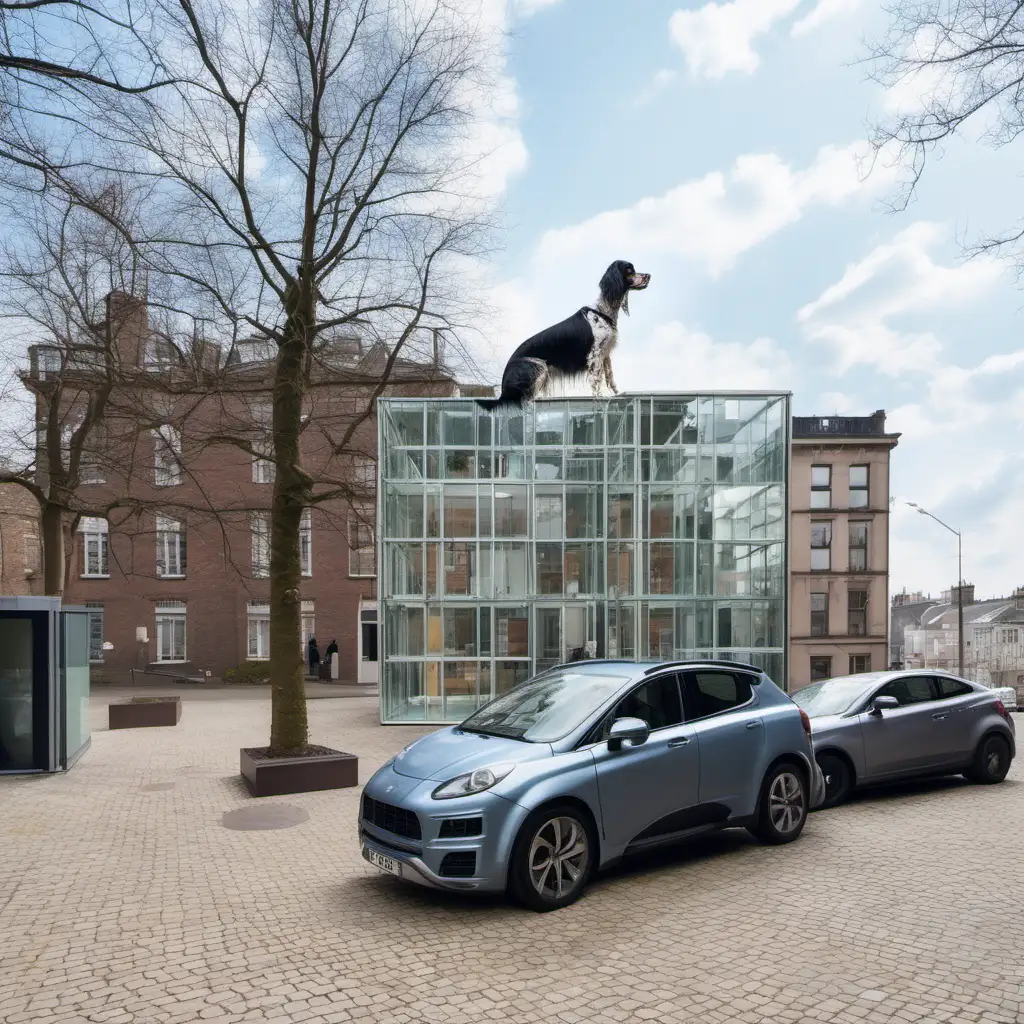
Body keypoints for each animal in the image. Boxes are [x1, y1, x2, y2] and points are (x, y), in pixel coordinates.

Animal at [475, 258, 651, 409]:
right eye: (629, 269)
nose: (648, 276)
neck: (603, 311)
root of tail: (503, 388)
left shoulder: (605, 353)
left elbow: (610, 377)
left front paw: (614, 393)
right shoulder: (595, 355)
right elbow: (597, 382)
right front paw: (601, 400)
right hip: (538, 367)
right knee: (526, 401)